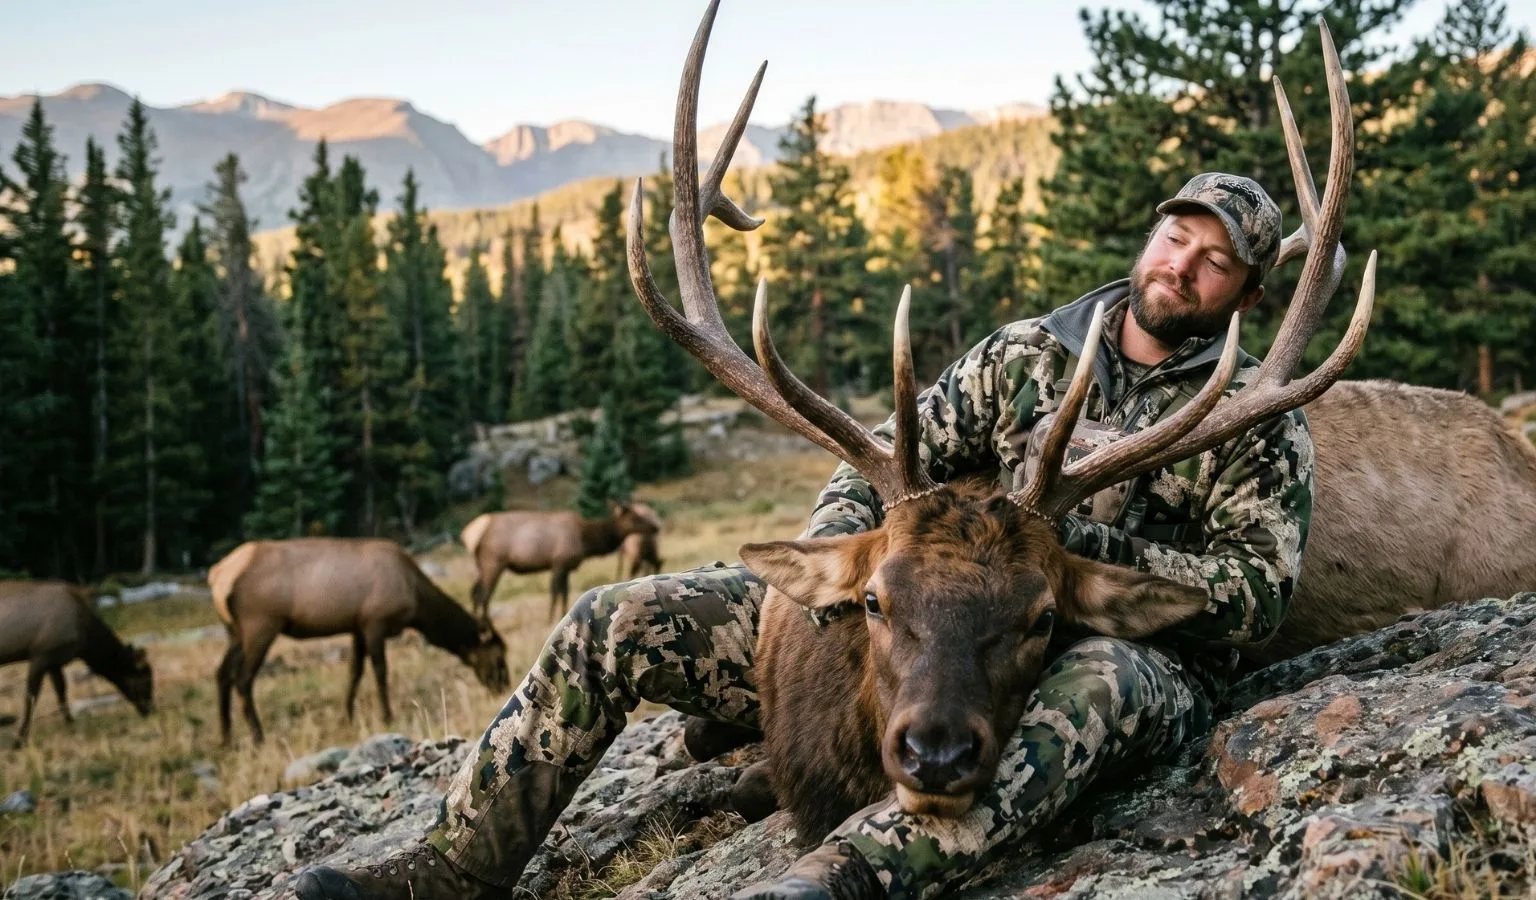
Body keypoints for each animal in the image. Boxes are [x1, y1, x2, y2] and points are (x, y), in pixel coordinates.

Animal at [0, 580, 154, 747]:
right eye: (145, 681)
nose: (152, 710)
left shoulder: (55, 661)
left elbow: (61, 691)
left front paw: (70, 724)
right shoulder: (40, 654)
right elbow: (31, 696)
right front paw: (20, 739)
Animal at [207, 538, 511, 746]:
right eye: (498, 656)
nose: (504, 686)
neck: (417, 603)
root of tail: (218, 577)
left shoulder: (357, 626)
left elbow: (354, 671)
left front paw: (348, 717)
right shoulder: (375, 622)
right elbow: (379, 670)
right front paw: (386, 716)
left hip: (235, 631)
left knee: (222, 673)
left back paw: (226, 738)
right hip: (261, 624)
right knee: (243, 678)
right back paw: (258, 737)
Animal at [460, 502, 662, 623]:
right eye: (635, 517)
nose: (655, 526)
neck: (586, 540)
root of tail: (472, 535)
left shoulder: (566, 567)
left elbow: (564, 592)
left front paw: (561, 615)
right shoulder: (559, 562)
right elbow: (555, 592)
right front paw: (550, 619)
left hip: (480, 566)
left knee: (475, 592)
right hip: (494, 562)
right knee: (484, 595)